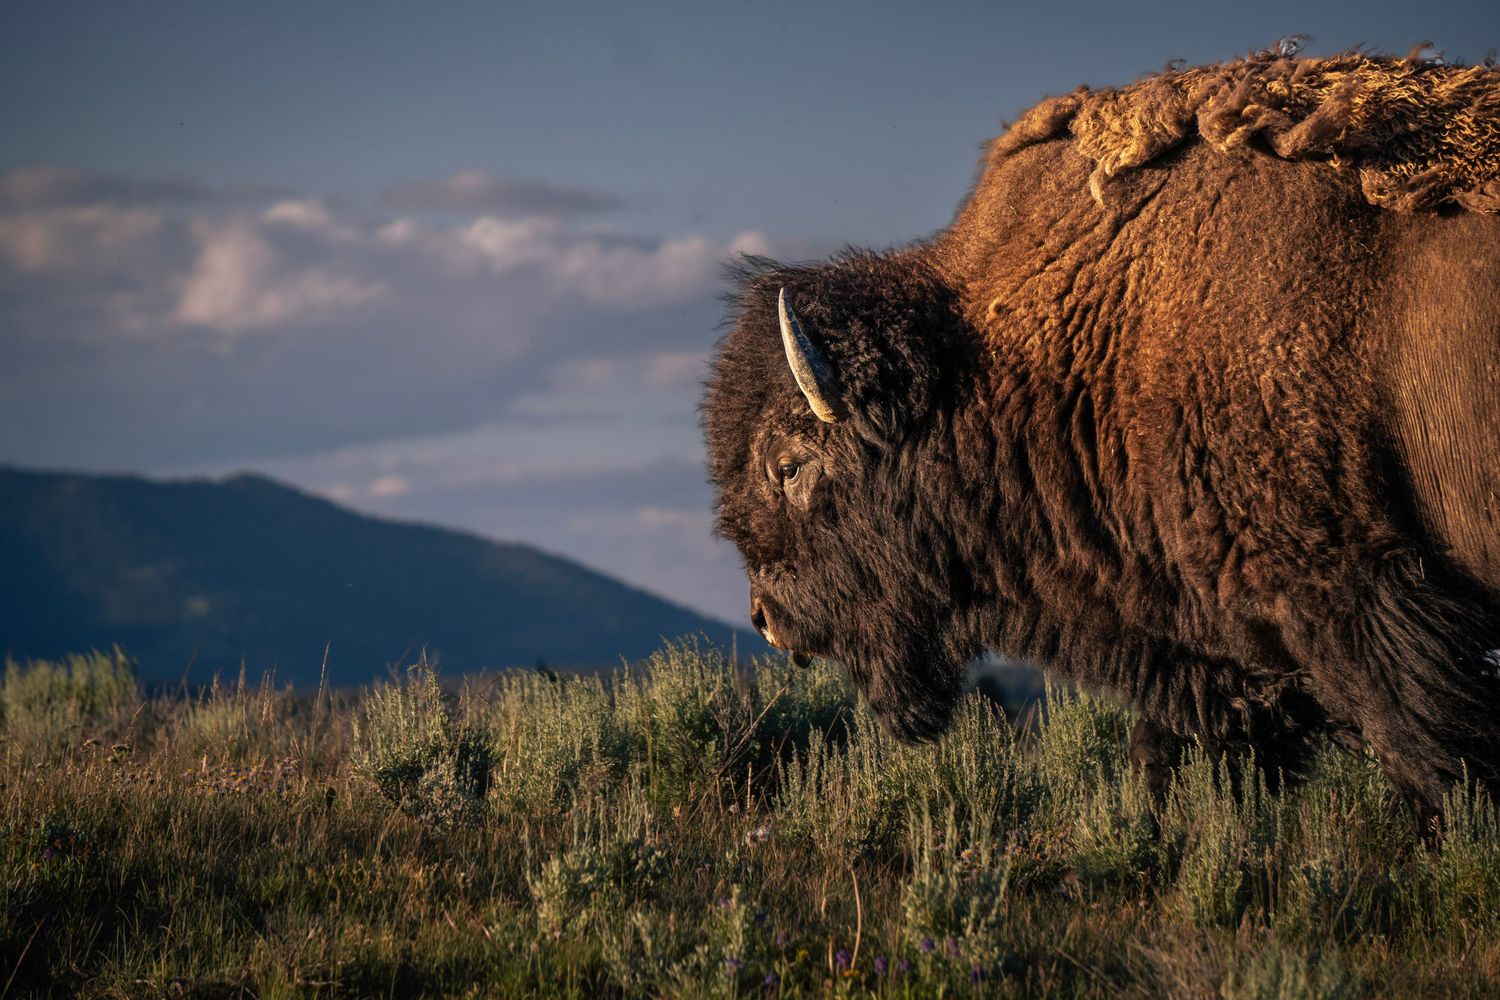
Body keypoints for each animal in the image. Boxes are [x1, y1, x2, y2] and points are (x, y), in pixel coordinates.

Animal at [704, 47, 1500, 827]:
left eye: (787, 465)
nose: (766, 618)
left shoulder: (1358, 603)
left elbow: (1436, 770)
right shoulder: (1229, 655)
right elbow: (1173, 754)